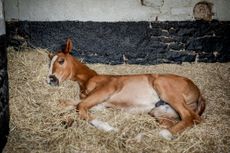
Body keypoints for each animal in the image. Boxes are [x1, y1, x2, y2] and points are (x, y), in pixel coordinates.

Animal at [47, 38, 206, 140]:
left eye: (61, 61)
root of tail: (199, 92)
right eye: (49, 63)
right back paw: (144, 136)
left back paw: (154, 135)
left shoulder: (106, 89)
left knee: (191, 117)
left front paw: (110, 129)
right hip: (160, 112)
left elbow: (80, 106)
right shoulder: (99, 103)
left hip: (164, 86)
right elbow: (69, 104)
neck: (88, 79)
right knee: (181, 121)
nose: (51, 79)